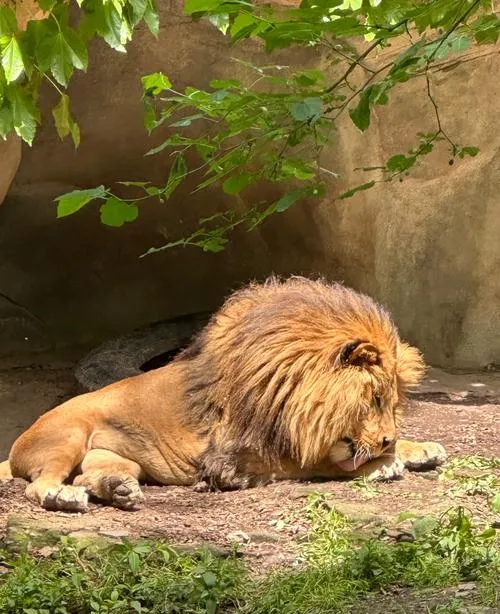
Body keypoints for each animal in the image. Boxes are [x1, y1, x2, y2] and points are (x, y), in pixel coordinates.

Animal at [0, 276, 446, 512]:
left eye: (392, 402)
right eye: (373, 399)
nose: (386, 438)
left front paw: (418, 448)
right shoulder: (235, 459)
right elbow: (326, 463)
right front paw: (384, 463)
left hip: (120, 459)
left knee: (94, 475)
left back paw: (117, 489)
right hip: (68, 435)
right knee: (38, 485)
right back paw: (62, 495)